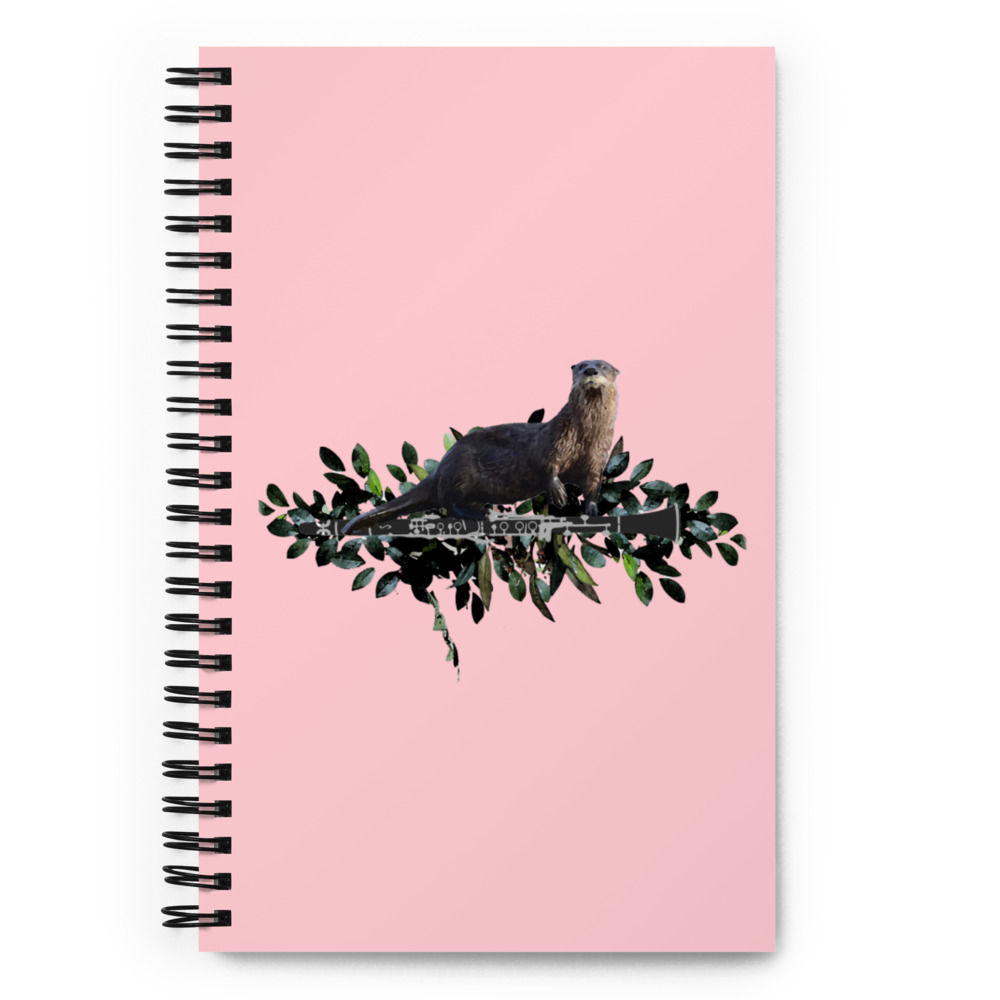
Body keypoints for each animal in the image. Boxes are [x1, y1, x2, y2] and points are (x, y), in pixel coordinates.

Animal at [341, 360, 620, 534]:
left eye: (603, 365)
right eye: (581, 366)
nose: (591, 370)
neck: (584, 436)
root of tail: (440, 469)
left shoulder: (596, 457)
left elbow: (592, 483)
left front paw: (592, 508)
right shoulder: (556, 441)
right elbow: (546, 464)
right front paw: (559, 492)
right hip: (462, 473)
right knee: (450, 503)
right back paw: (481, 512)